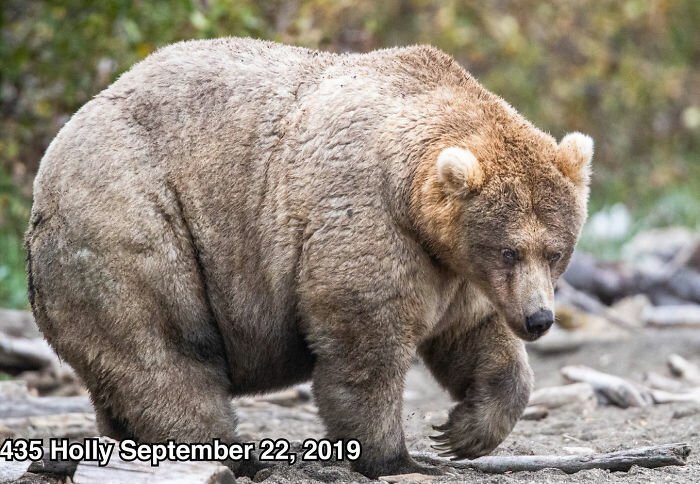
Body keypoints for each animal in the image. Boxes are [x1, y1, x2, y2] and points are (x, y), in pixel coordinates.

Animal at [26, 36, 592, 476]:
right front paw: (394, 456)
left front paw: (462, 431)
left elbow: (473, 336)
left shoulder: (454, 270)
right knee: (165, 348)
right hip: (133, 220)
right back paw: (227, 450)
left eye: (555, 251)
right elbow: (365, 342)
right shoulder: (367, 218)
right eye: (509, 250)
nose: (539, 319)